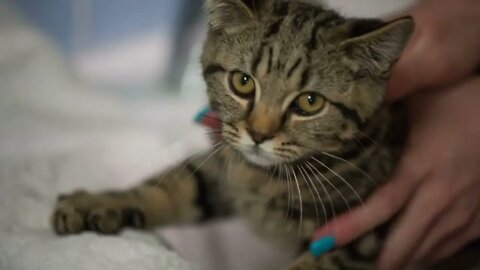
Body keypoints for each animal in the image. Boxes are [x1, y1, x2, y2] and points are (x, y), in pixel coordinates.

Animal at [51, 0, 412, 270]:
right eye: (242, 82)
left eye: (310, 102)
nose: (258, 134)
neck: (266, 180)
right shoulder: (222, 170)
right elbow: (171, 186)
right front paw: (99, 201)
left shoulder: (360, 237)